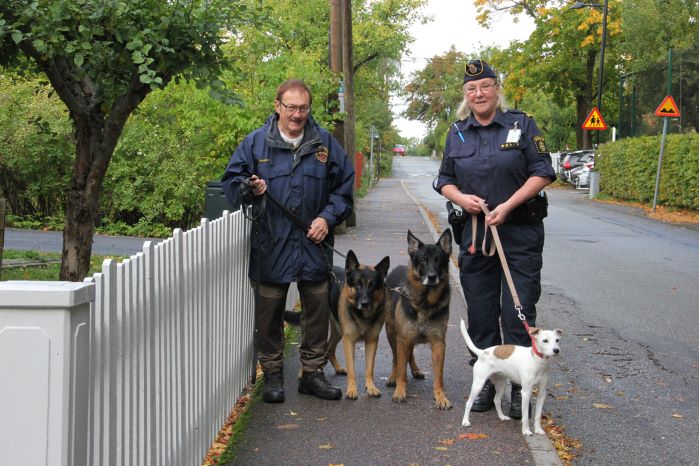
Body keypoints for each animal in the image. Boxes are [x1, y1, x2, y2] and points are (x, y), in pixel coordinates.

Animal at [286, 249, 394, 398]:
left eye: (372, 285)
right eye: (357, 284)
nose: (365, 303)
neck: (362, 315)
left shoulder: (372, 341)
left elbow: (369, 368)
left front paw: (371, 387)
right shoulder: (348, 341)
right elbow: (352, 368)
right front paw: (352, 389)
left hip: (338, 331)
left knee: (329, 349)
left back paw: (337, 368)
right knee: (308, 348)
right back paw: (303, 372)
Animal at [386, 228, 452, 408]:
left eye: (438, 260)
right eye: (423, 259)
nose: (432, 276)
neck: (425, 302)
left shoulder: (439, 344)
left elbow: (439, 377)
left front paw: (440, 397)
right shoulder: (403, 338)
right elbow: (401, 370)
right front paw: (400, 391)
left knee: (409, 355)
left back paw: (415, 370)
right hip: (392, 333)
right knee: (396, 359)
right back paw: (392, 377)